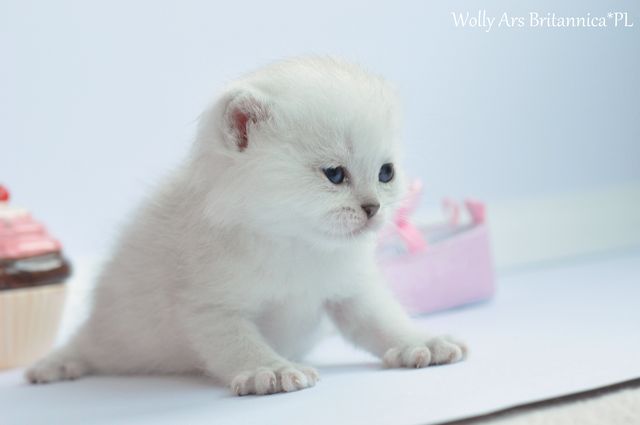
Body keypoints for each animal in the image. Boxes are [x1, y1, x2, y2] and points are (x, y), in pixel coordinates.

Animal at [26, 57, 466, 395]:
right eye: (334, 174)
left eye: (386, 173)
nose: (374, 208)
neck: (293, 241)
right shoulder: (209, 307)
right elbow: (239, 344)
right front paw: (269, 370)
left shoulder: (350, 290)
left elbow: (381, 321)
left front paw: (419, 341)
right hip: (114, 333)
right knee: (86, 344)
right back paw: (56, 364)